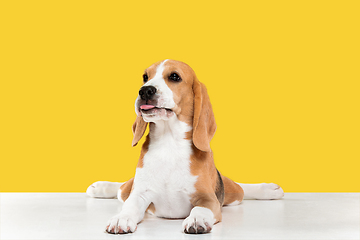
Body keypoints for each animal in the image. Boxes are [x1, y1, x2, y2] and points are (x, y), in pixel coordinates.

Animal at [87, 59, 284, 234]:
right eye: (145, 77)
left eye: (174, 76)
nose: (144, 91)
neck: (169, 143)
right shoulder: (139, 194)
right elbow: (129, 206)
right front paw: (121, 218)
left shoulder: (208, 199)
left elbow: (199, 209)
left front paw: (197, 220)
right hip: (129, 188)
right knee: (122, 188)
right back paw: (101, 187)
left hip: (232, 193)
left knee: (240, 188)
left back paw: (268, 189)